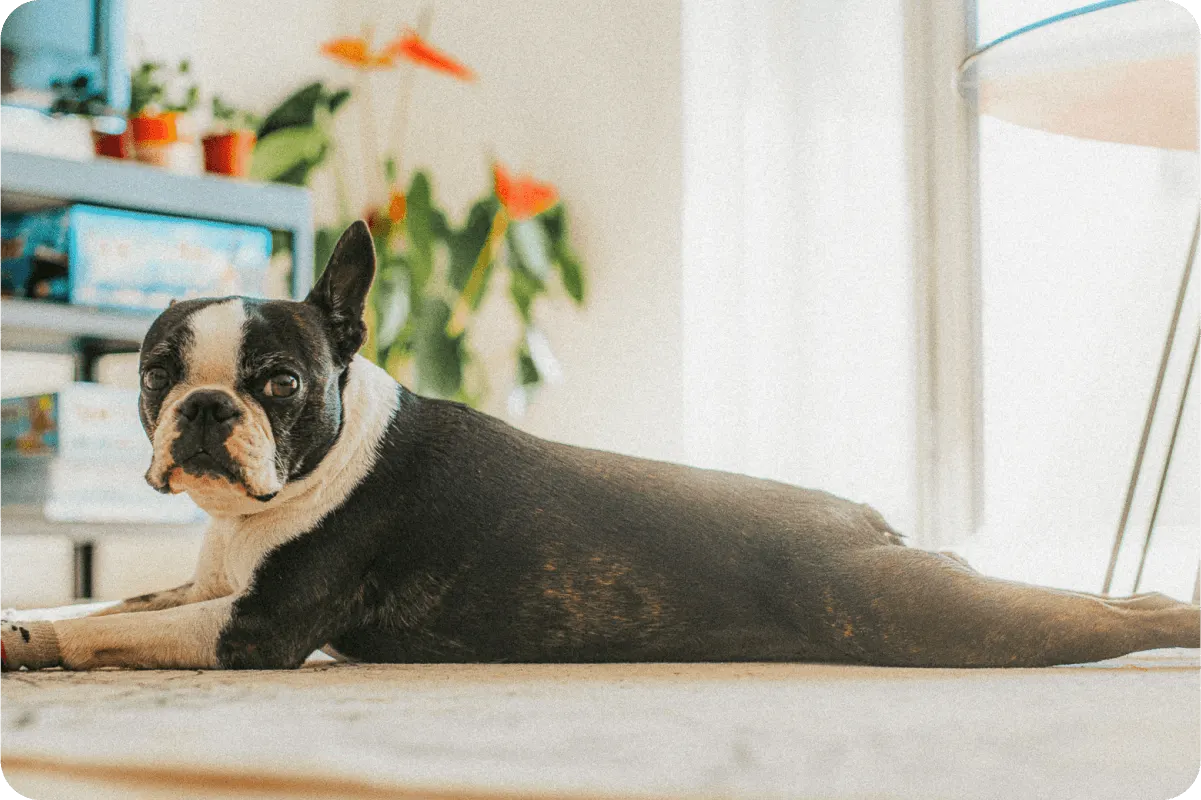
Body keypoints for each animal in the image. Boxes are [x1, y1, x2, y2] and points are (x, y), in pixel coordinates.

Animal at [0, 221, 1196, 667]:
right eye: (156, 373)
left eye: (279, 384)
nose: (205, 410)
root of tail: (865, 518)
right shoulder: (207, 583)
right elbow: (110, 603)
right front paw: (27, 623)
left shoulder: (258, 626)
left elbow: (119, 633)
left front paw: (41, 647)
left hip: (911, 612)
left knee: (1090, 621)